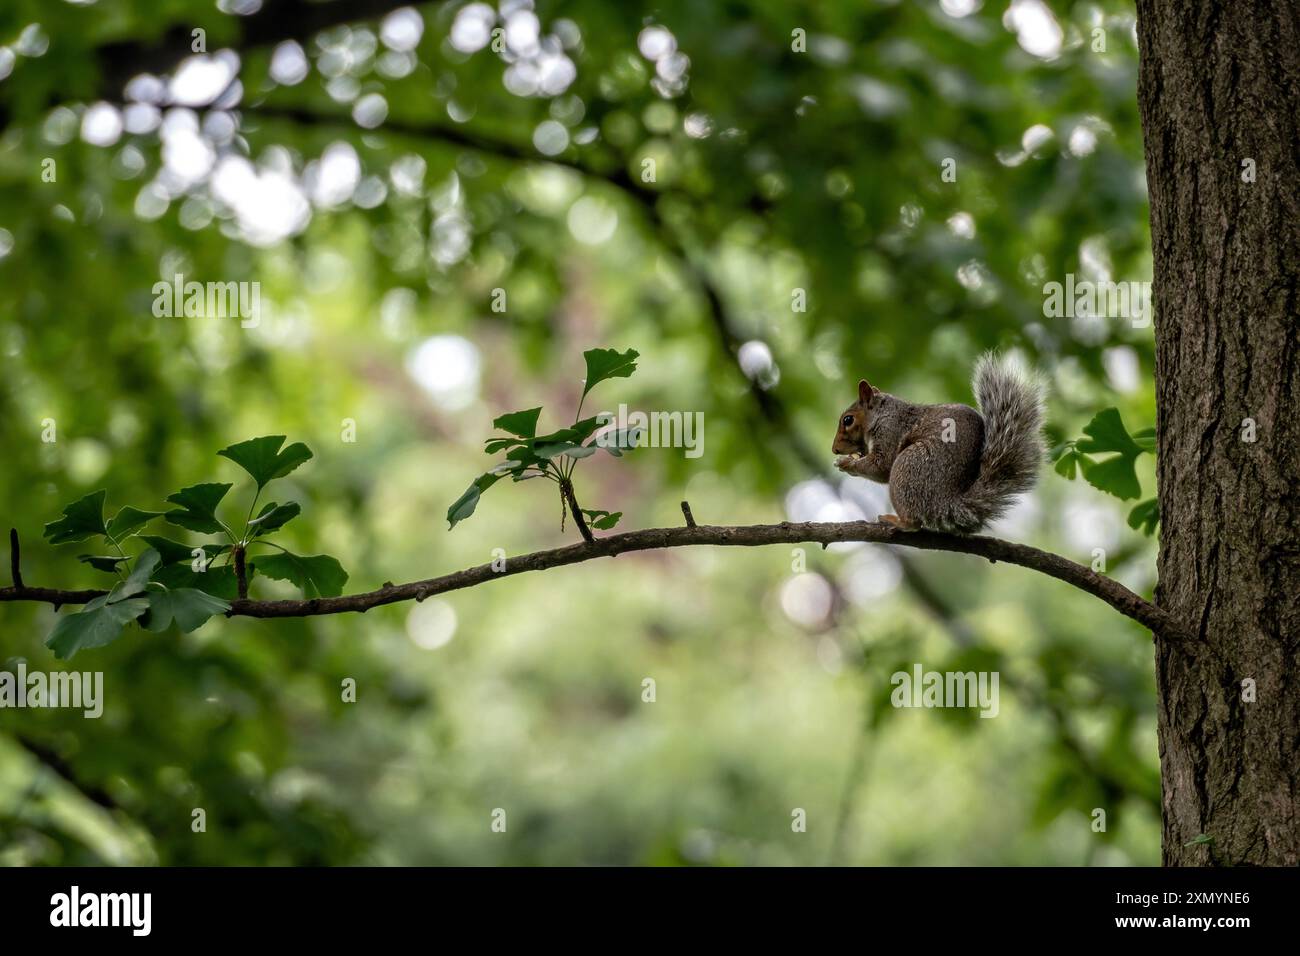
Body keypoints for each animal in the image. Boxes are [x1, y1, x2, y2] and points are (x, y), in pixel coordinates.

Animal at [832, 352, 1045, 533]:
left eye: (848, 420)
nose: (834, 450)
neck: (882, 414)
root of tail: (946, 503)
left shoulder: (890, 431)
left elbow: (881, 466)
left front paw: (847, 463)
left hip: (909, 466)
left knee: (914, 522)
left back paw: (898, 521)